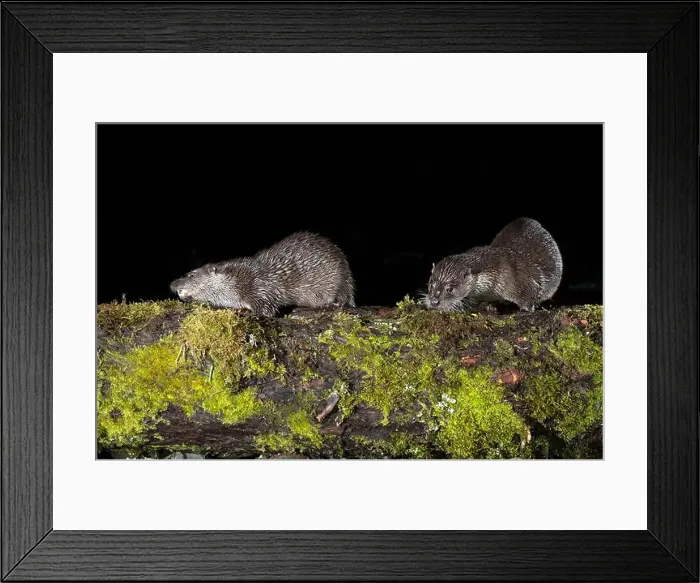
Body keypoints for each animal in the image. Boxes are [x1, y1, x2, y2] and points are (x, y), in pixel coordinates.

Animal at [170, 231, 355, 316]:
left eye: (191, 275)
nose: (172, 284)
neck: (237, 280)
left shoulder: (260, 289)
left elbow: (266, 310)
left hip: (340, 279)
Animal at [425, 217, 563, 312]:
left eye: (449, 289)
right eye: (431, 285)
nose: (434, 301)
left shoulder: (521, 280)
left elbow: (530, 296)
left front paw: (525, 309)